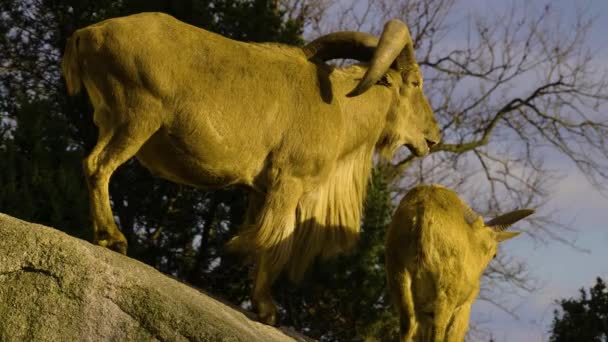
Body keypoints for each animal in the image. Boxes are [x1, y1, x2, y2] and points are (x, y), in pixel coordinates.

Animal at [63, 12, 442, 324]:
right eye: (415, 83)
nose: (434, 137)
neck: (341, 109)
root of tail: (87, 33)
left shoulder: (261, 191)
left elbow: (263, 239)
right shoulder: (289, 183)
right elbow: (274, 243)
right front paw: (266, 308)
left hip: (114, 120)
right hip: (136, 117)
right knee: (98, 165)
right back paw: (112, 238)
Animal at [388, 186, 536, 340]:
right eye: (494, 254)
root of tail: (423, 215)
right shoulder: (464, 306)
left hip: (399, 275)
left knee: (408, 324)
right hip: (445, 291)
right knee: (438, 329)